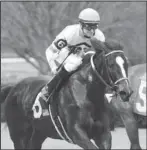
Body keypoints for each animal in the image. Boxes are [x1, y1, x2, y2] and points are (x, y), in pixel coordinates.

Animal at [1, 37, 141, 149]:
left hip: (38, 134)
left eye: (126, 64)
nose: (126, 91)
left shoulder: (103, 134)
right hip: (19, 135)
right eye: (111, 64)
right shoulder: (77, 133)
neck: (88, 95)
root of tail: (13, 88)